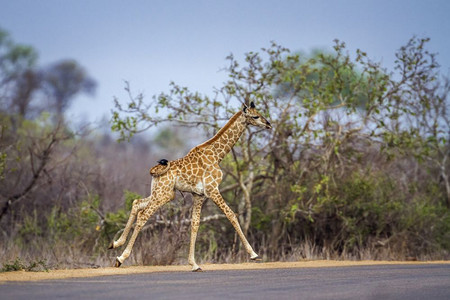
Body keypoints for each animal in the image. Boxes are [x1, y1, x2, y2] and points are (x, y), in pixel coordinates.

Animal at [108, 101, 270, 272]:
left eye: (259, 113)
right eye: (255, 116)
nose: (268, 124)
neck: (217, 155)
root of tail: (154, 171)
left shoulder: (199, 195)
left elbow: (195, 224)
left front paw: (194, 263)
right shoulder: (212, 190)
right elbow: (231, 215)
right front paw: (254, 254)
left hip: (161, 192)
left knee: (136, 203)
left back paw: (115, 244)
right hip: (164, 195)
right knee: (143, 215)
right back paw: (120, 258)